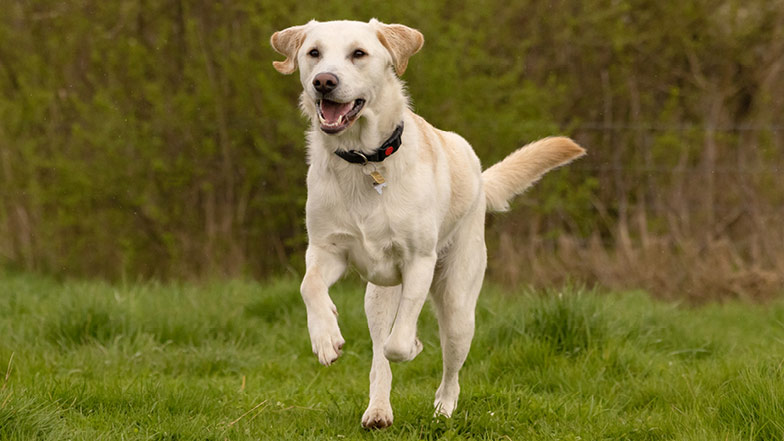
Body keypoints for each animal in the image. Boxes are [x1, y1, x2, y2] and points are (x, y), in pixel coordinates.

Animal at [270, 18, 580, 426]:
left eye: (358, 53)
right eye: (313, 53)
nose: (324, 81)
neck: (364, 159)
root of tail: (480, 177)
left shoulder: (419, 261)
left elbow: (399, 344)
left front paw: (413, 344)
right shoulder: (326, 250)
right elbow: (310, 287)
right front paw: (325, 337)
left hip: (459, 306)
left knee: (448, 366)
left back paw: (443, 409)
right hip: (377, 298)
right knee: (378, 354)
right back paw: (378, 410)